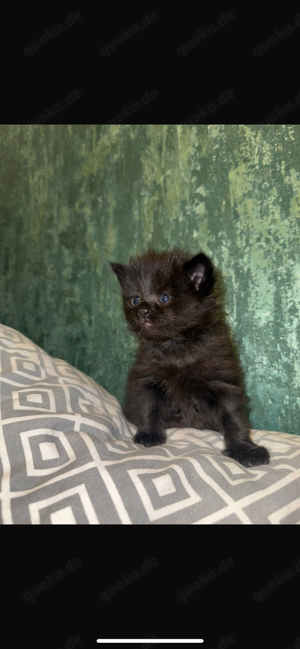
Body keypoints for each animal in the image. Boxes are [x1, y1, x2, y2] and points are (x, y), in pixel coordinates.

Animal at [109, 248, 270, 466]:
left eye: (165, 298)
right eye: (135, 299)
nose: (142, 311)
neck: (177, 346)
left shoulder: (222, 380)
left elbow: (233, 416)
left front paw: (244, 449)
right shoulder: (147, 378)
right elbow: (148, 406)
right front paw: (149, 435)